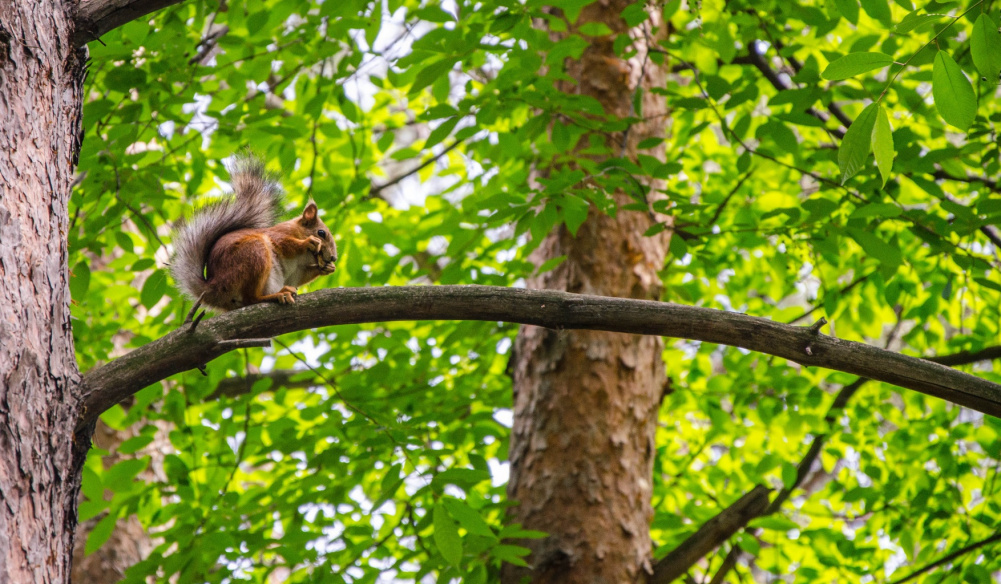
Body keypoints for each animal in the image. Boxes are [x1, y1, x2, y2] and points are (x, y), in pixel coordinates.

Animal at [170, 155, 337, 312]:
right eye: (321, 233)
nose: (333, 257)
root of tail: (215, 288)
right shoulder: (278, 234)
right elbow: (285, 244)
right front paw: (308, 242)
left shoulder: (296, 271)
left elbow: (299, 276)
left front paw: (327, 268)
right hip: (254, 253)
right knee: (251, 299)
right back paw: (278, 294)